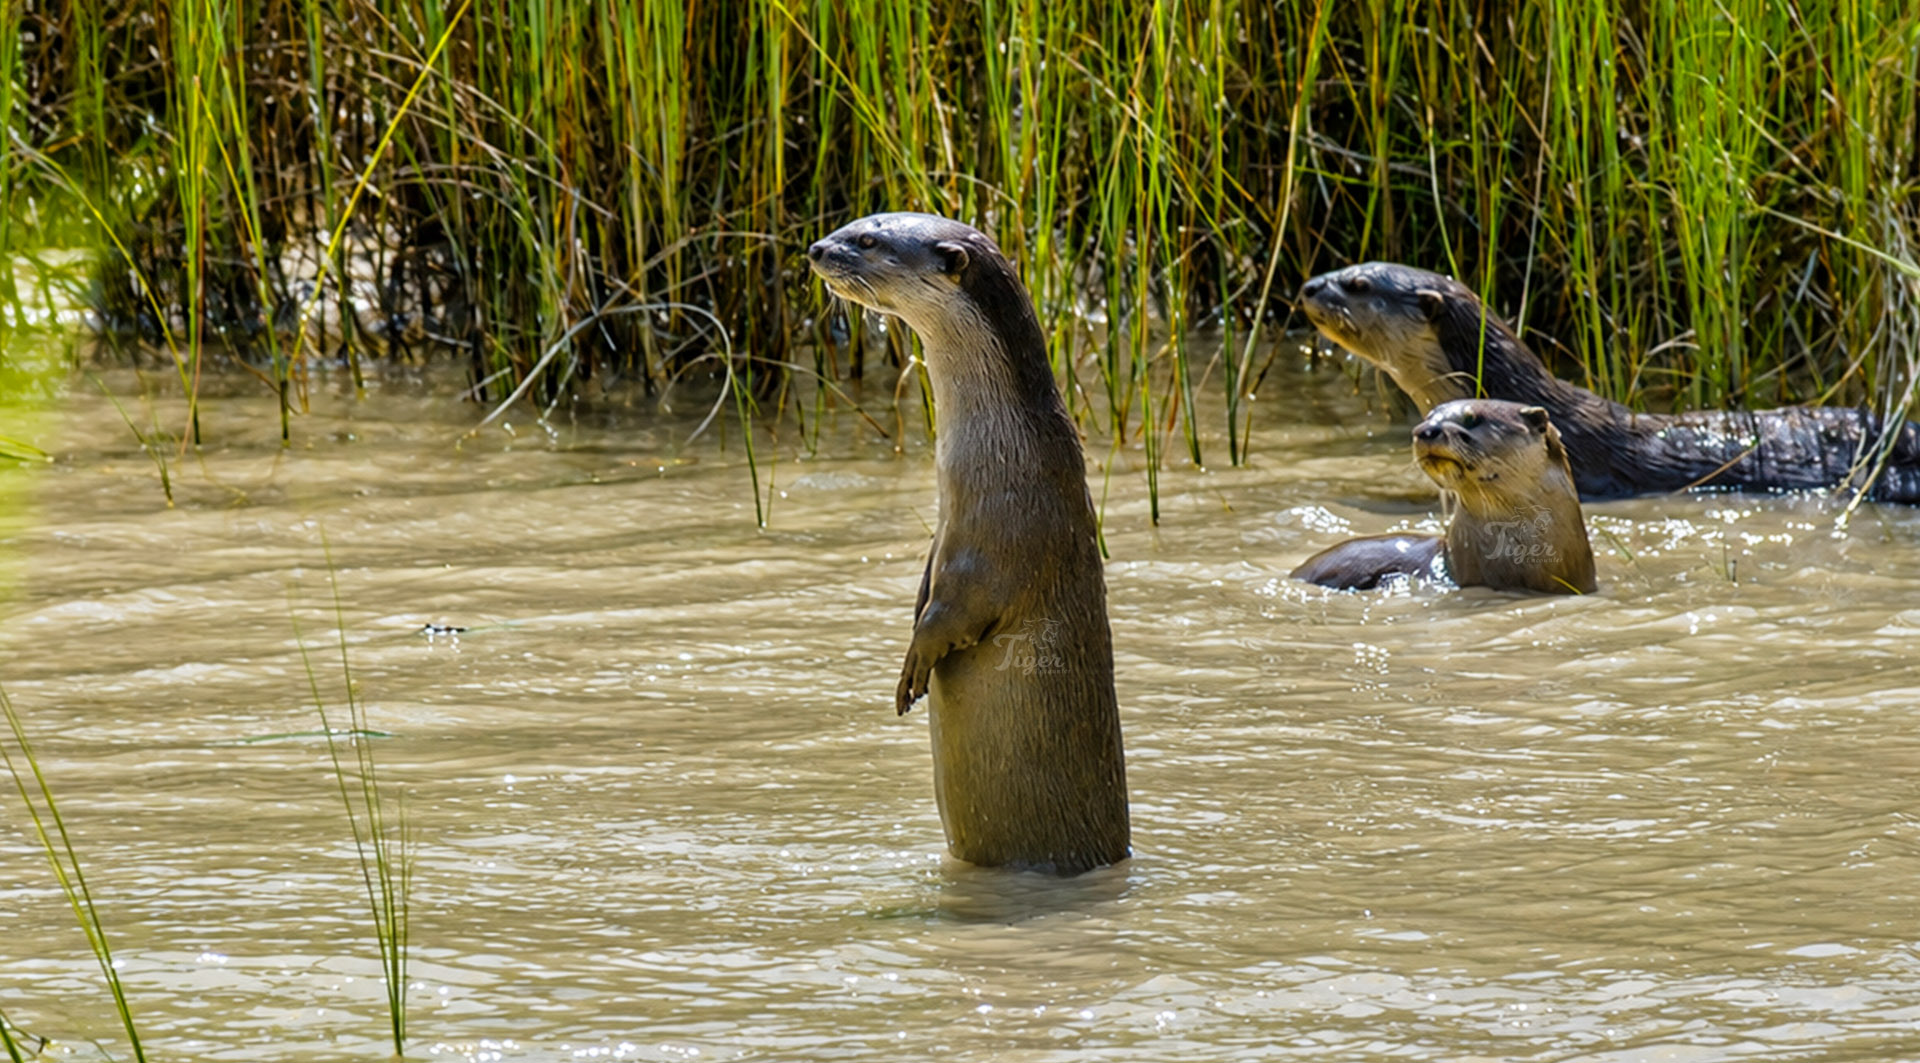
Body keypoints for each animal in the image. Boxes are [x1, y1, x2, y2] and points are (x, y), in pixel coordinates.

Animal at [807, 212, 1129, 874]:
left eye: (869, 241)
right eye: (853, 224)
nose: (816, 249)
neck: (1007, 452)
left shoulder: (1000, 541)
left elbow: (954, 613)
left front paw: (911, 672)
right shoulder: (944, 536)